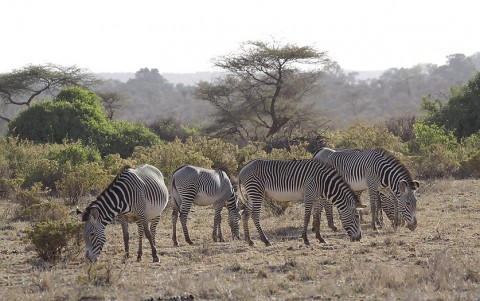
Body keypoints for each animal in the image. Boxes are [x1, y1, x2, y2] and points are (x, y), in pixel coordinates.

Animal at [236, 158, 364, 245]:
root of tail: (243, 169)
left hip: (252, 195)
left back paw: (249, 241)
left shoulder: (317, 198)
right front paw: (305, 239)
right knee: (254, 215)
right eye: (356, 216)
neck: (323, 182)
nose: (359, 238)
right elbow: (307, 216)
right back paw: (265, 240)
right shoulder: (309, 195)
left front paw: (320, 238)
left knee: (245, 214)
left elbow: (317, 216)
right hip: (256, 192)